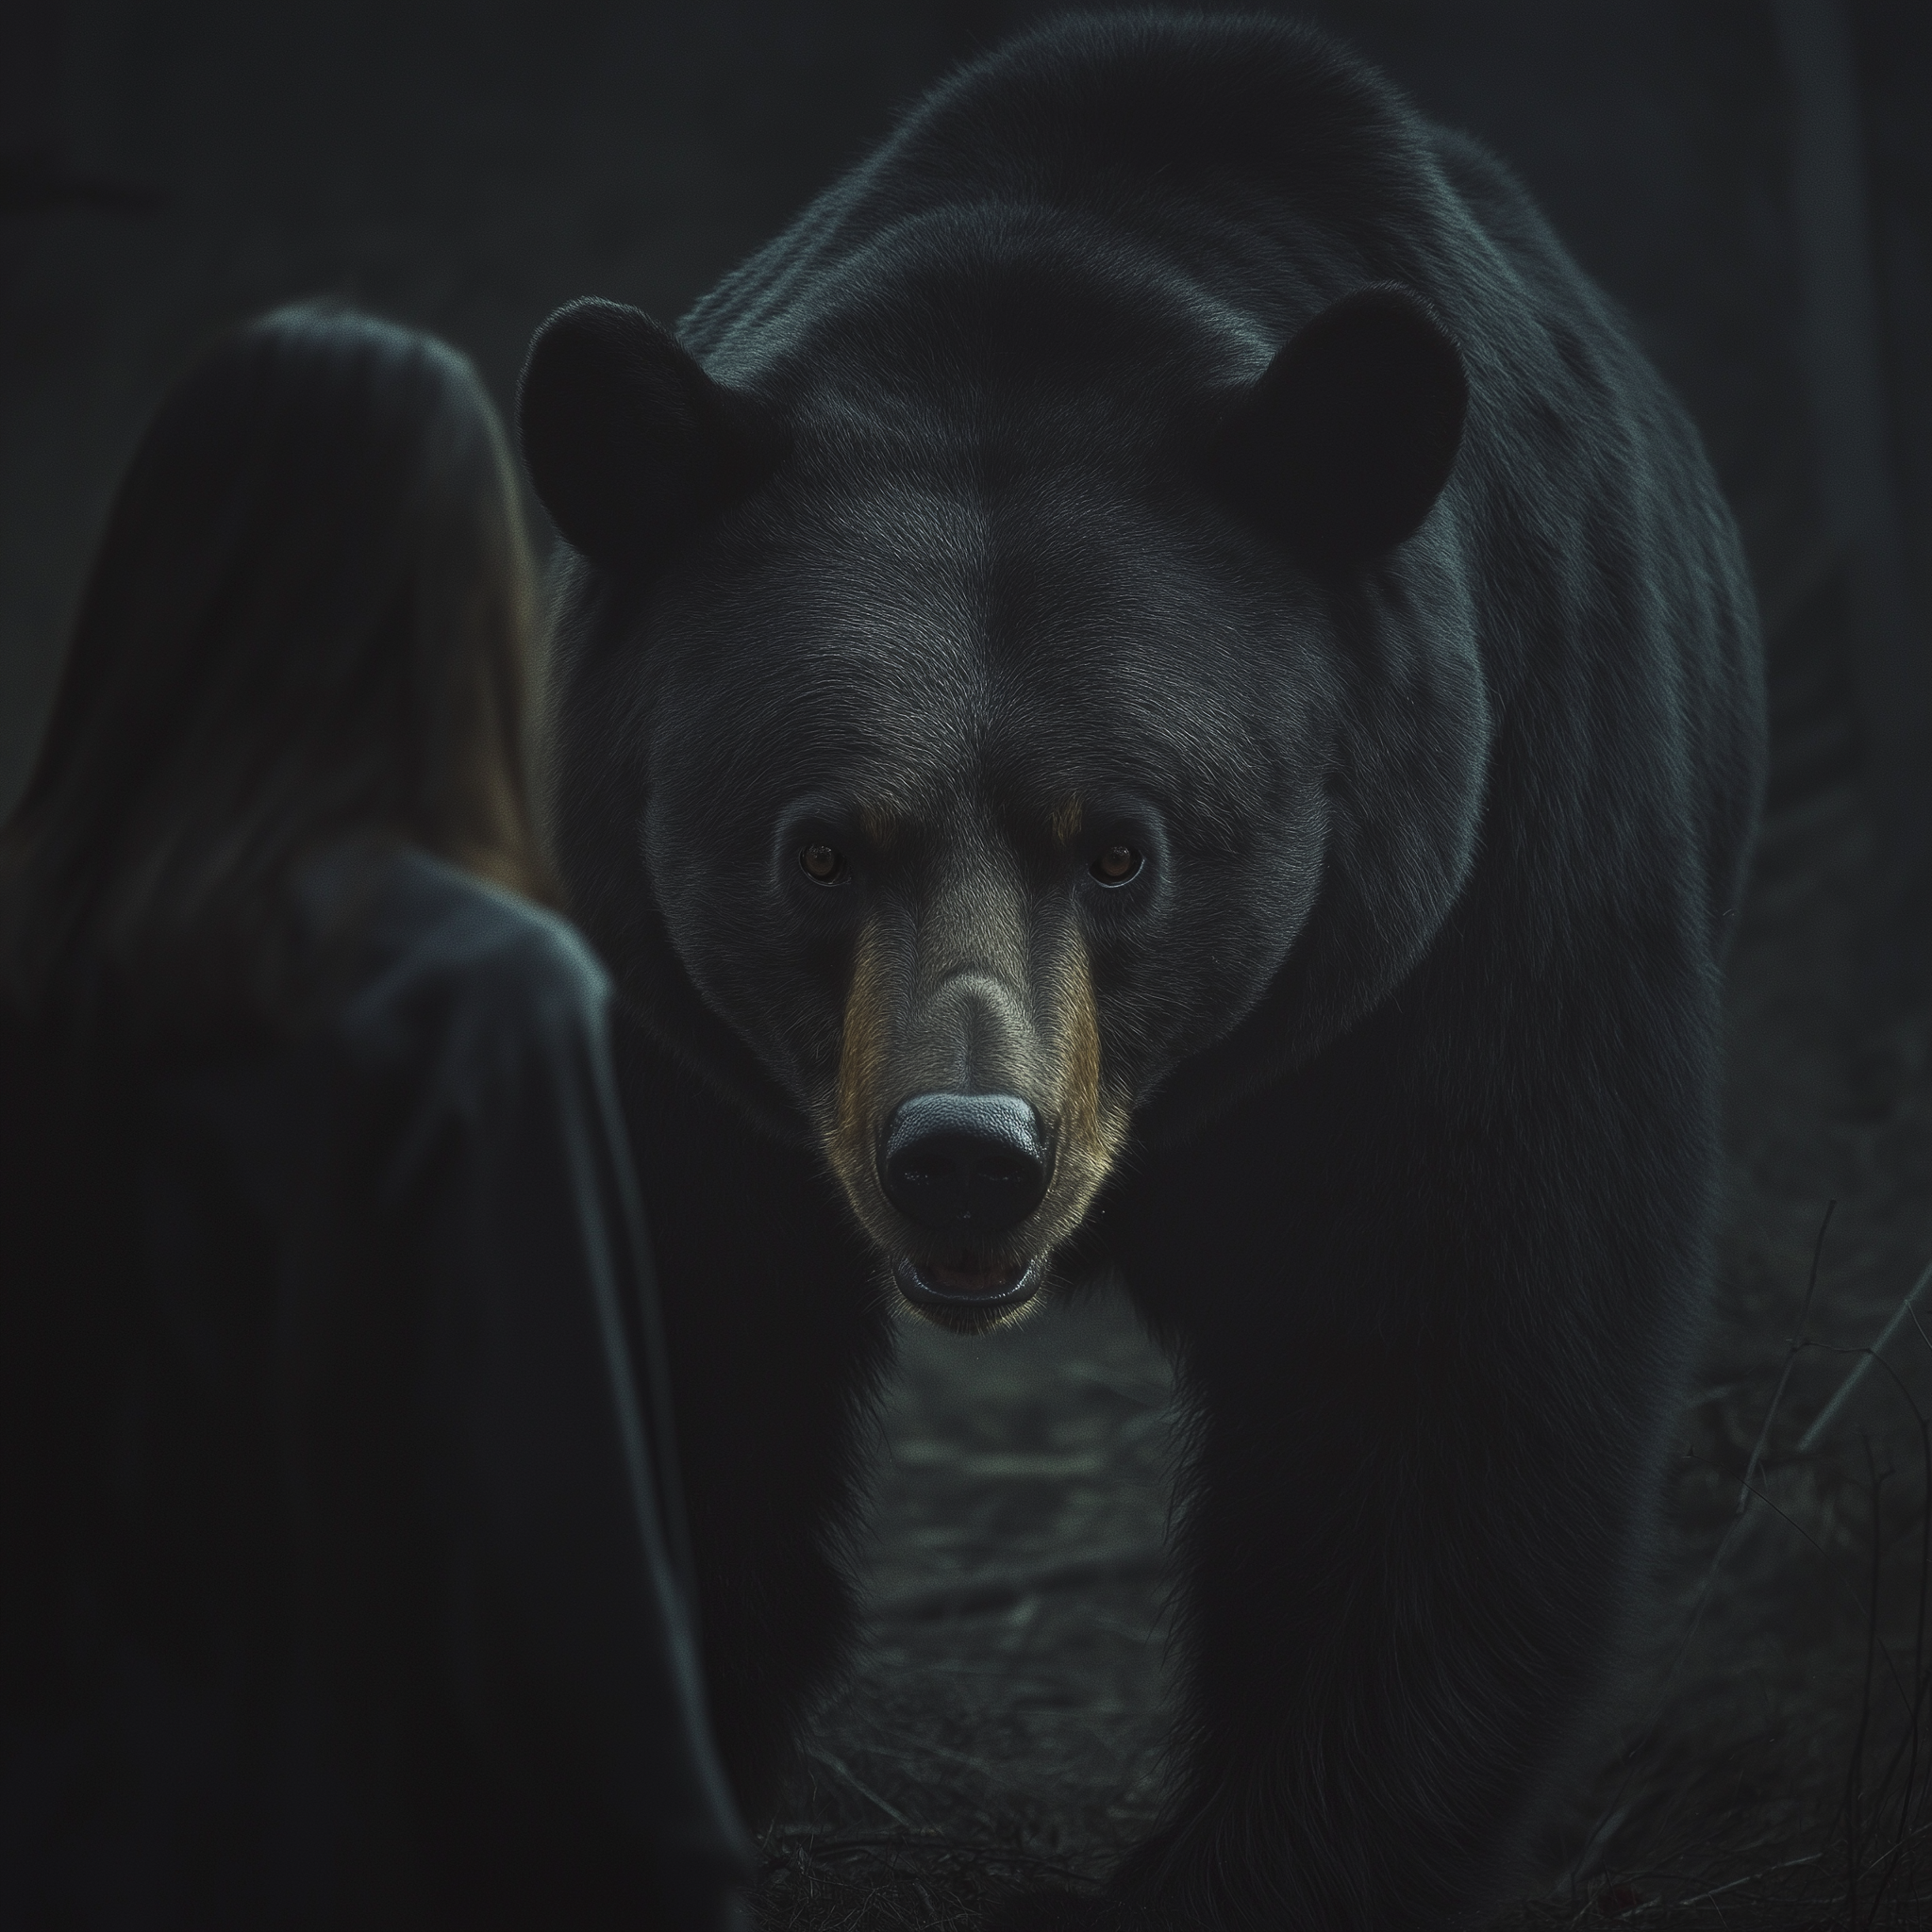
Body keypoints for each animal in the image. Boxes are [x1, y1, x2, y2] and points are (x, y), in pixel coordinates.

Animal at [515, 13, 1766, 1928]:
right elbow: (672, 1371)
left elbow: (1439, 1393)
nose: (966, 1155)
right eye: (819, 847)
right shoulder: (668, 1042)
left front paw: (1257, 1859)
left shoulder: (1488, 933)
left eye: (1120, 845)